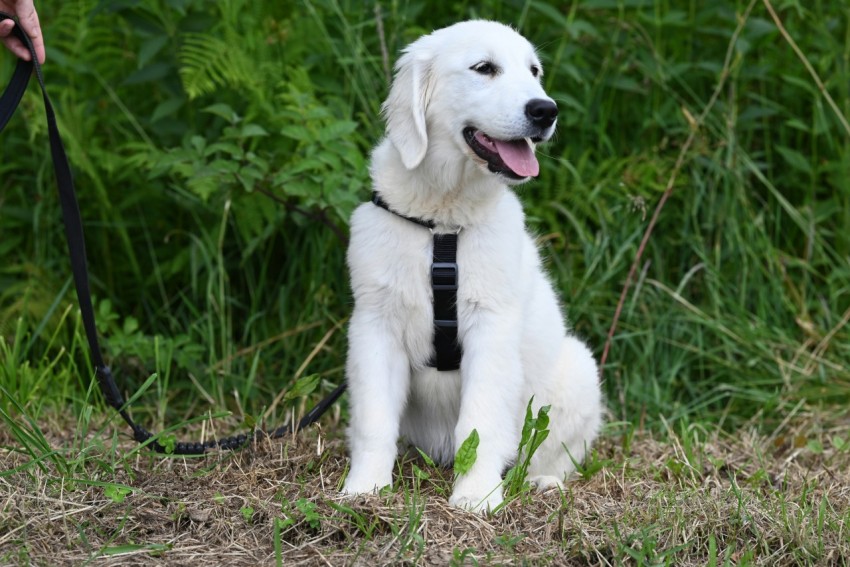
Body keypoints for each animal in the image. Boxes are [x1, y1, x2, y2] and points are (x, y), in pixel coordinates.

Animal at [342, 20, 600, 512]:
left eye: (534, 71)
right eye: (484, 68)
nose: (546, 110)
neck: (443, 223)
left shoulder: (491, 325)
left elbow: (480, 422)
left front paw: (476, 495)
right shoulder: (375, 323)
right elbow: (374, 419)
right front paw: (365, 488)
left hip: (580, 369)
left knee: (553, 454)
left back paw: (543, 481)